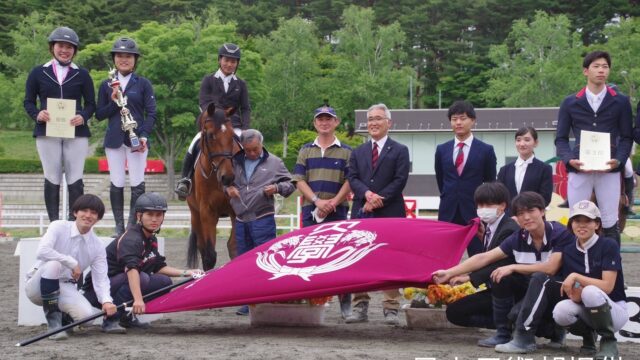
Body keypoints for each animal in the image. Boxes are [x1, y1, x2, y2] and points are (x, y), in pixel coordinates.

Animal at [186, 102, 239, 272]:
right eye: (210, 136)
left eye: (232, 136)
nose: (228, 177)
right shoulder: (207, 212)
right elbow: (209, 254)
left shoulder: (236, 211)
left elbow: (234, 247)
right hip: (195, 215)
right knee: (202, 248)